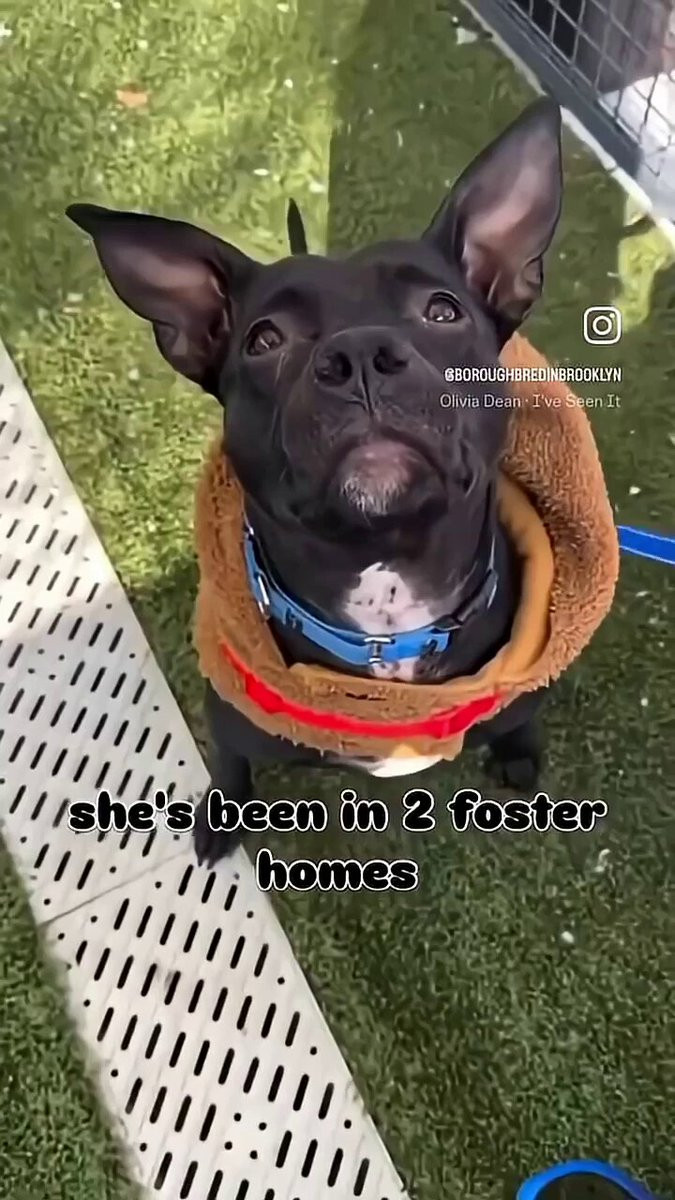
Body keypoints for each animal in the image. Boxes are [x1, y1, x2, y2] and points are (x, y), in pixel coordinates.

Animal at [67, 96, 563, 867]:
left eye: (442, 310)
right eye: (264, 339)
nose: (358, 354)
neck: (387, 624)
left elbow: (516, 720)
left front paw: (517, 753)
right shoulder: (230, 718)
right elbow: (231, 764)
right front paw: (222, 814)